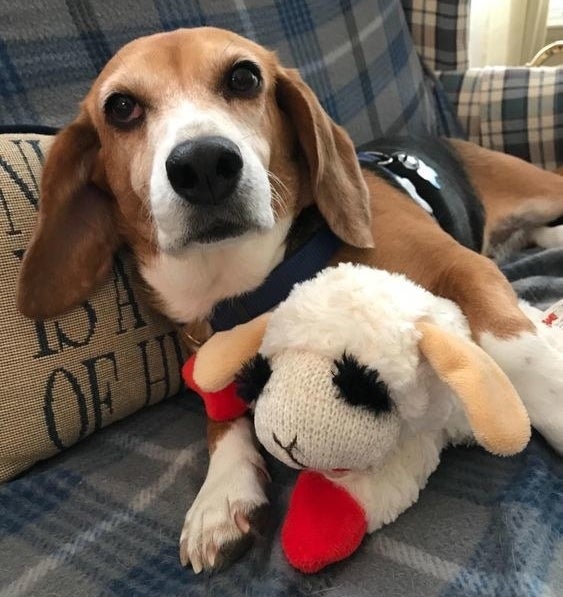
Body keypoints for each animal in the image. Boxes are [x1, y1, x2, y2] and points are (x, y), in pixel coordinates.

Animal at [16, 29, 563, 572]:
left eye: (244, 77)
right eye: (121, 108)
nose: (203, 163)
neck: (252, 282)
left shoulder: (463, 268)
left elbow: (517, 351)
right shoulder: (206, 354)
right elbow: (219, 419)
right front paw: (221, 496)